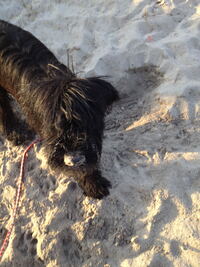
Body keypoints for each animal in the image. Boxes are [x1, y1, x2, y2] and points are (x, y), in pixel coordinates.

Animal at [0, 20, 119, 199]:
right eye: (55, 127)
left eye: (89, 124)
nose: (74, 158)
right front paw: (92, 184)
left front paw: (93, 183)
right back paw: (15, 132)